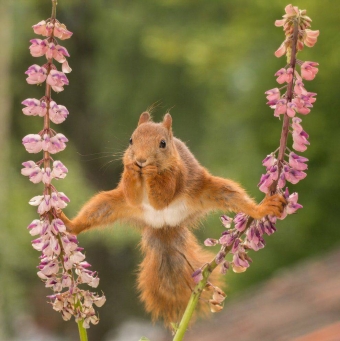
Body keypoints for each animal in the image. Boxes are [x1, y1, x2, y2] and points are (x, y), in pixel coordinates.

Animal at [57, 111, 284, 324]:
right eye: (131, 140)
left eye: (163, 144)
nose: (141, 160)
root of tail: (164, 226)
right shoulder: (129, 195)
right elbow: (132, 194)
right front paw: (132, 168)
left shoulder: (178, 174)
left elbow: (162, 197)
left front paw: (150, 172)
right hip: (108, 204)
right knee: (95, 211)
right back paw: (69, 224)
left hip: (213, 190)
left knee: (234, 196)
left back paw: (262, 208)